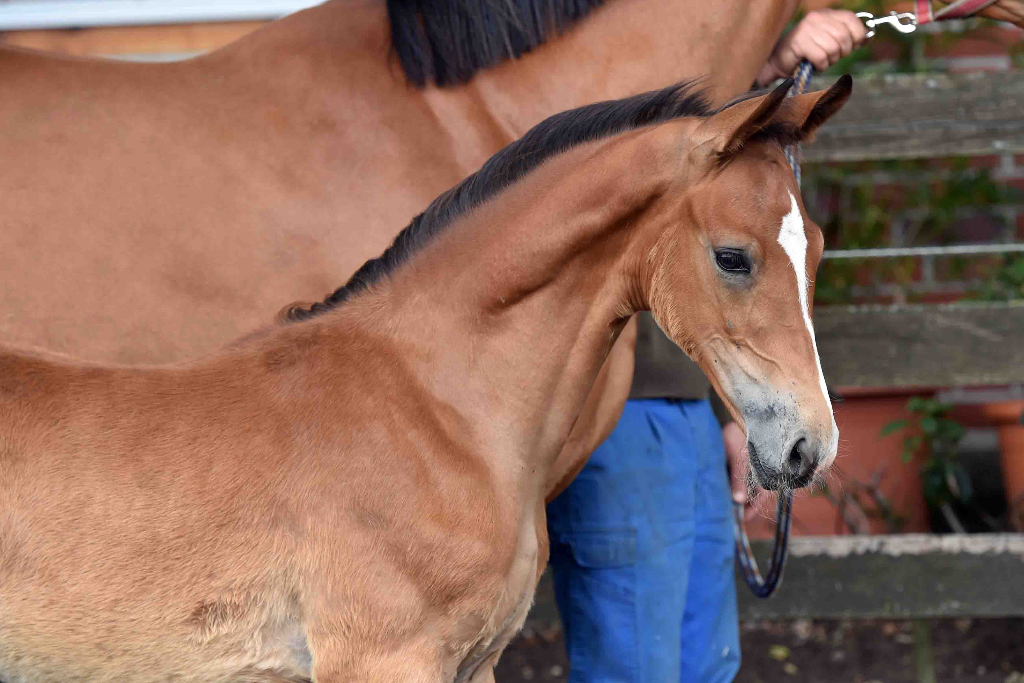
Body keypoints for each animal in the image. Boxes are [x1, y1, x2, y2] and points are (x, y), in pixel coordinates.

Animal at [0, 74, 847, 683]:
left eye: (817, 248)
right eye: (733, 257)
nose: (809, 446)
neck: (437, 406)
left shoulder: (476, 662)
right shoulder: (386, 658)